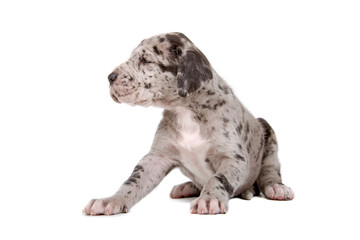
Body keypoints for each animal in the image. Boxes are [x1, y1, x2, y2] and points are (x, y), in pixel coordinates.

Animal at [83, 32, 294, 216]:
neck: (185, 110)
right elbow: (133, 181)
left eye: (146, 60)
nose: (110, 77)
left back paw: (276, 187)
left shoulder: (234, 158)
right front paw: (110, 200)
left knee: (270, 170)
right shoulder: (156, 158)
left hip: (268, 134)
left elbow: (218, 178)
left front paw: (209, 199)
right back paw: (187, 187)